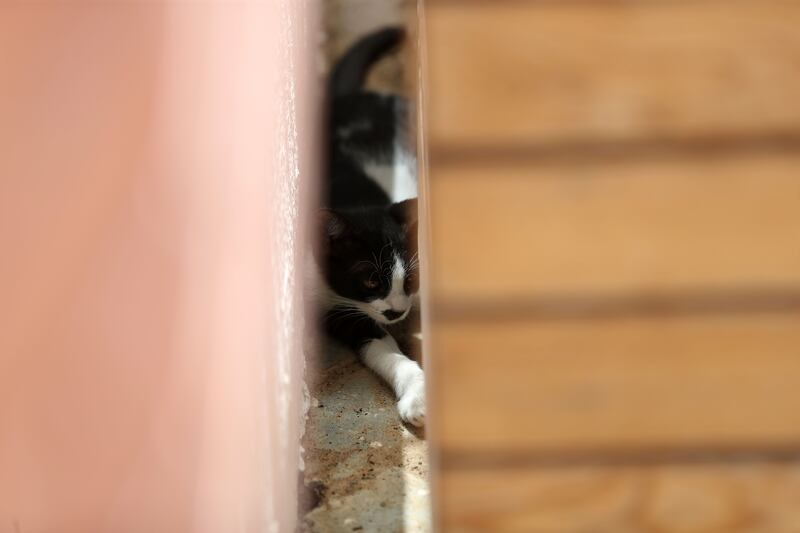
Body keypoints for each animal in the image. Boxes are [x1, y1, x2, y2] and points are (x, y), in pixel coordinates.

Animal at [312, 28, 424, 428]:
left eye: (410, 279)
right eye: (370, 281)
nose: (396, 313)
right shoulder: (334, 303)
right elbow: (377, 345)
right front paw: (417, 396)